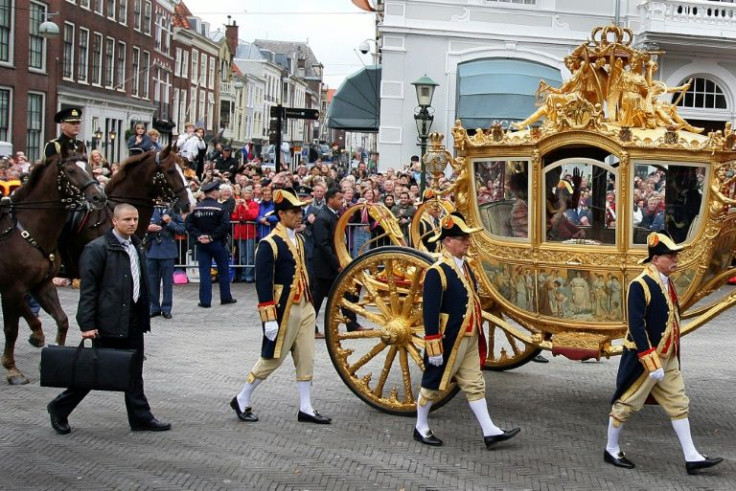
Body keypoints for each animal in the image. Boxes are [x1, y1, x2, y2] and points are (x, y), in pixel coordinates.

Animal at [0, 156, 106, 386]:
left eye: (89, 168)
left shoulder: (42, 284)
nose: (99, 196)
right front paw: (12, 370)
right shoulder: (12, 288)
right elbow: (11, 329)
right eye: (71, 171)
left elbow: (62, 319)